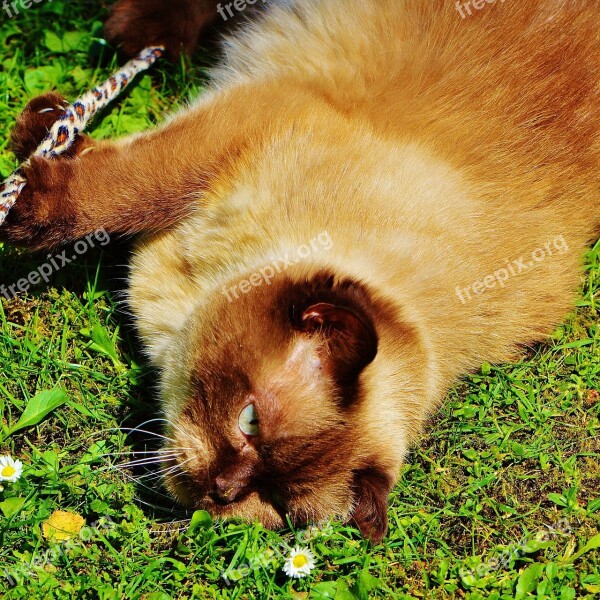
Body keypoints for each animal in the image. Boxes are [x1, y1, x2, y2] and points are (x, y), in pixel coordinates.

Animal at [1, 1, 600, 544]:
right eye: (249, 420)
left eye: (274, 501)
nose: (221, 489)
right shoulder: (244, 124)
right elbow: (122, 191)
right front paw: (32, 168)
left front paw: (47, 137)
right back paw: (134, 41)